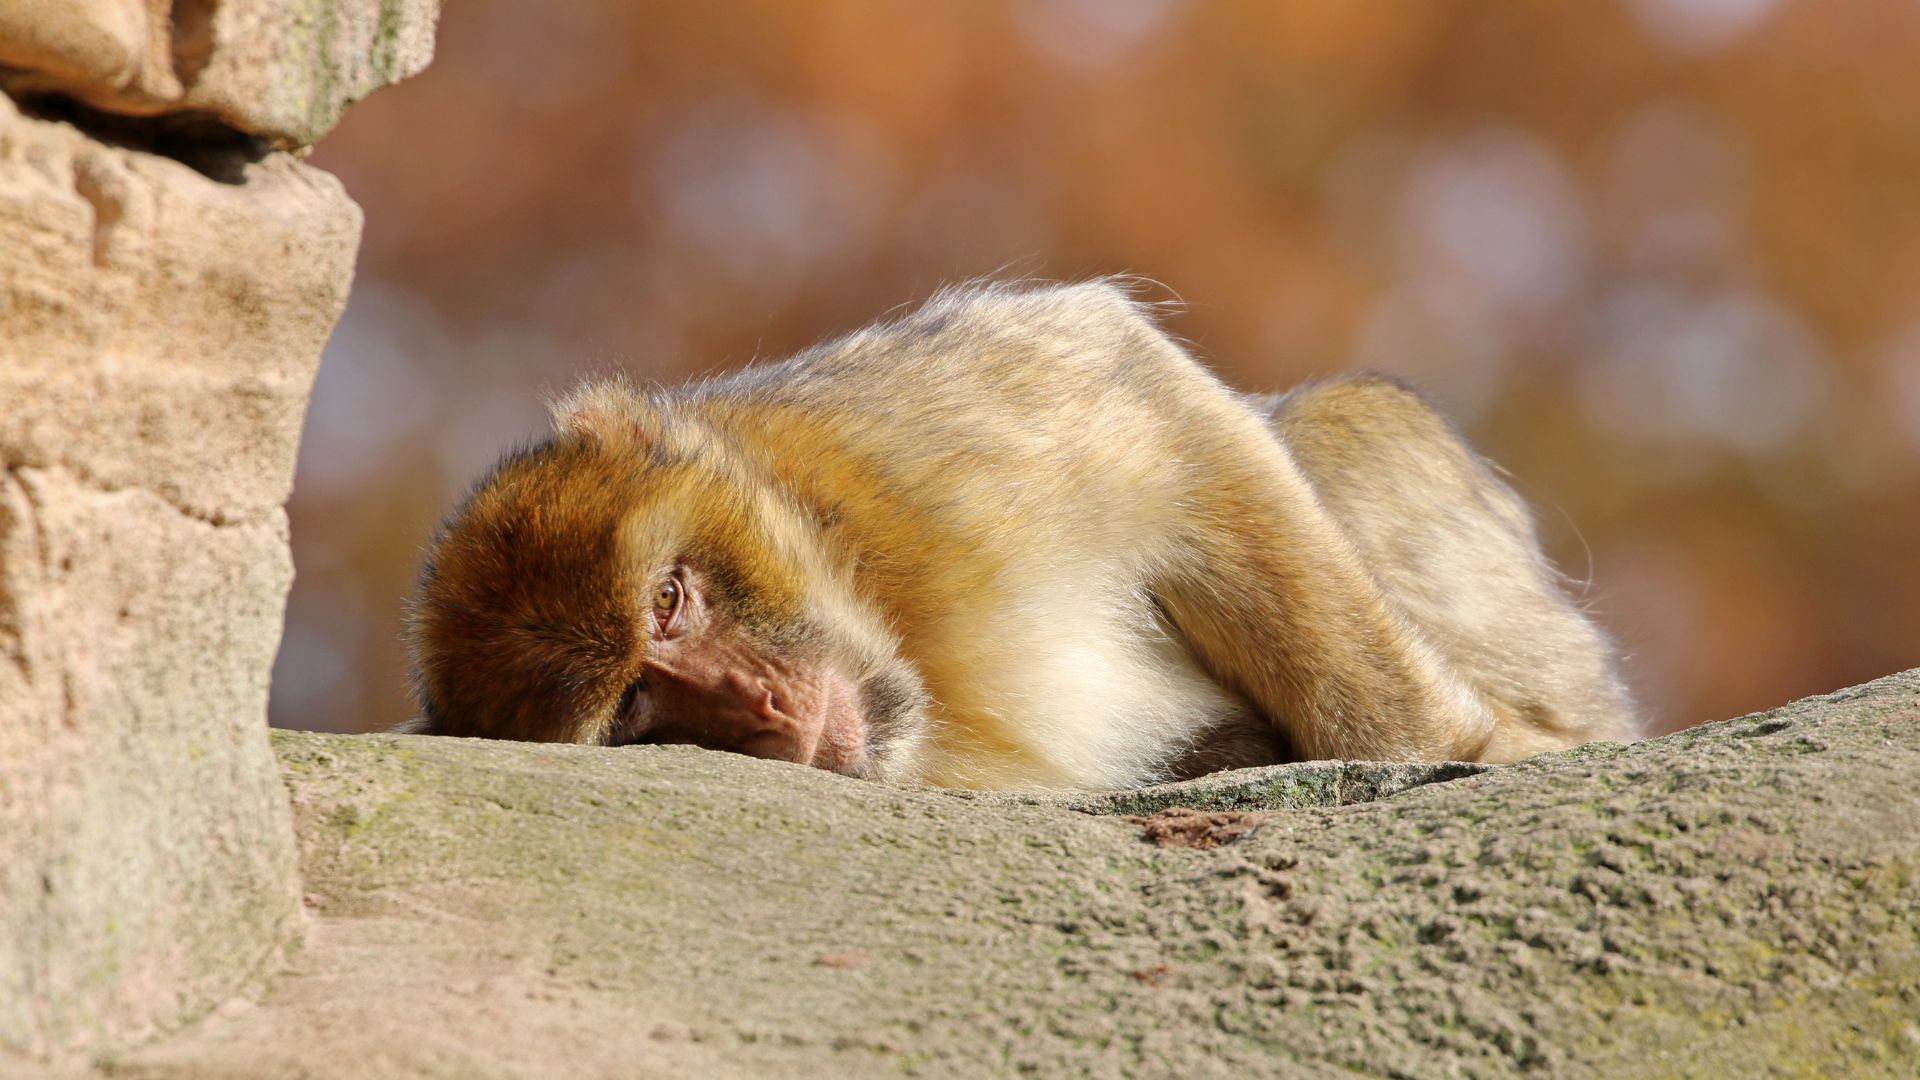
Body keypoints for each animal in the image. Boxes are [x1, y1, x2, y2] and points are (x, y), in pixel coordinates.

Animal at [404, 280, 1635, 791]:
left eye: (669, 599)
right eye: (636, 710)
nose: (758, 704)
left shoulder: (912, 454)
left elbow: (1149, 401)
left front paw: (1449, 754)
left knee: (1345, 420)